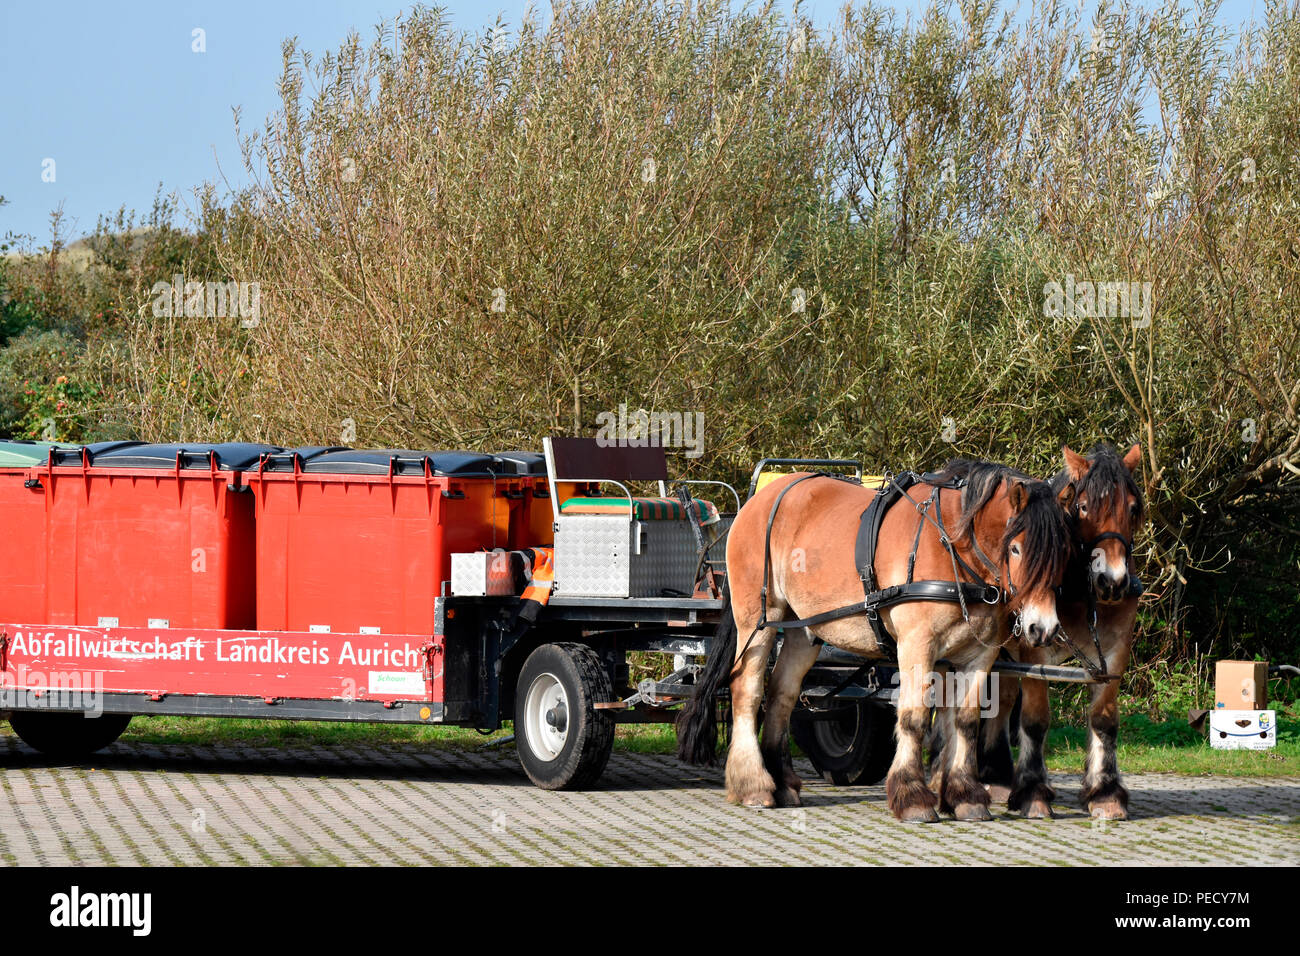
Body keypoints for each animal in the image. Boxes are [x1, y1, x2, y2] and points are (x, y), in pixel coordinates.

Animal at [681, 463, 1076, 822]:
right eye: (1016, 549)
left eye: (1064, 552)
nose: (1042, 628)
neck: (953, 547)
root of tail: (758, 501)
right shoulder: (917, 644)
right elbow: (915, 717)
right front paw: (913, 797)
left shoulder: (979, 655)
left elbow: (965, 721)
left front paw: (966, 795)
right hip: (758, 620)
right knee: (747, 690)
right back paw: (753, 785)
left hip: (802, 629)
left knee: (782, 695)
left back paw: (782, 783)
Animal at [977, 444, 1149, 816]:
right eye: (1084, 507)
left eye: (1132, 508)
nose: (1112, 581)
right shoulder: (1034, 646)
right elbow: (1035, 719)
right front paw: (1033, 792)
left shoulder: (1115, 651)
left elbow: (1103, 718)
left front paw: (1105, 793)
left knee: (1002, 699)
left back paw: (996, 777)